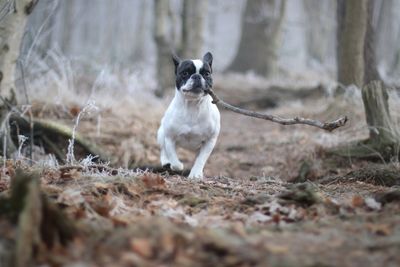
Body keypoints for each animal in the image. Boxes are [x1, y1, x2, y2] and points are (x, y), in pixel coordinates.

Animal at [157, 51, 220, 180]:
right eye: (185, 73)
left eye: (207, 73)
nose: (197, 76)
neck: (192, 105)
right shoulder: (170, 137)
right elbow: (172, 156)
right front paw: (178, 165)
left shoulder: (210, 141)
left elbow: (201, 159)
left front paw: (196, 173)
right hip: (160, 133)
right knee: (163, 149)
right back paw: (166, 161)